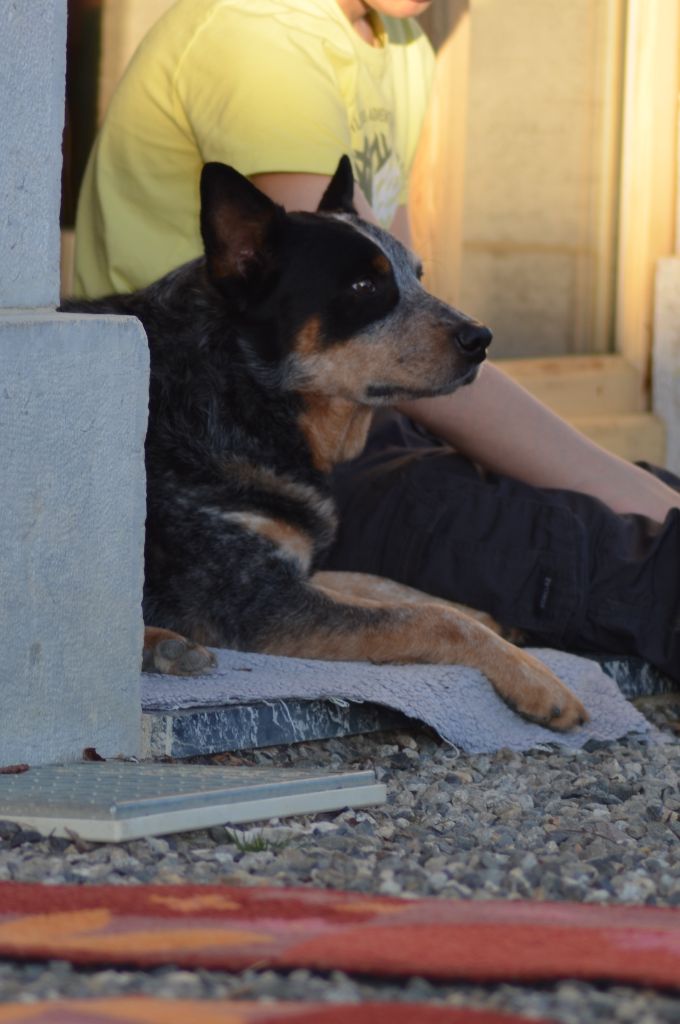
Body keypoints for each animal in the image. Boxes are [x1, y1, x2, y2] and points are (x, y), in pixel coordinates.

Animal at [61, 155, 585, 733]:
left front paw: (491, 617)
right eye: (362, 285)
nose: (481, 338)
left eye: (417, 276)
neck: (239, 390)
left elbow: (381, 583)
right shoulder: (252, 599)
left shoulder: (295, 566)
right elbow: (430, 618)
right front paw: (536, 679)